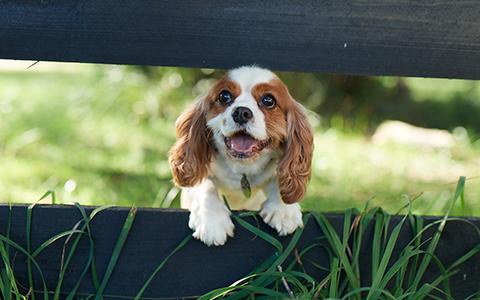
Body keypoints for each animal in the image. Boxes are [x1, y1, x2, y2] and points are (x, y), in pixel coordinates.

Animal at [169, 66, 316, 246]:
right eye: (224, 96)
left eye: (268, 100)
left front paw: (283, 211)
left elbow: (278, 180)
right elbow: (205, 185)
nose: (241, 112)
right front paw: (212, 221)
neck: (241, 168)